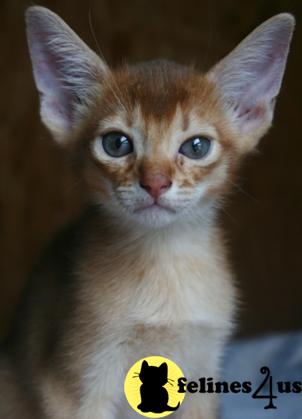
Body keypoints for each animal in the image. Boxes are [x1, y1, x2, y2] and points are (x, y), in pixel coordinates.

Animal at [0, 6, 294, 419]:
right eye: (116, 143)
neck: (163, 266)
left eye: (197, 146)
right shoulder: (72, 389)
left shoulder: (202, 382)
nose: (155, 183)